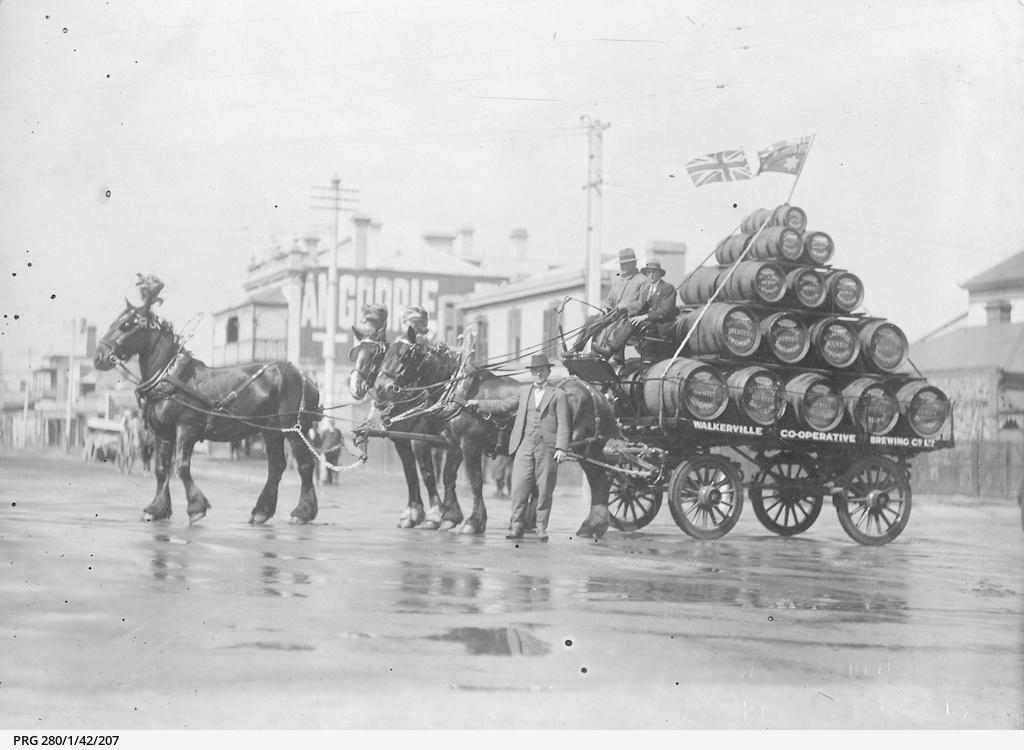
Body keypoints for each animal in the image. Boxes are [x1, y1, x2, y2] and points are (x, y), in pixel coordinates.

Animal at [95, 276, 323, 528]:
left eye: (126, 325)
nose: (98, 357)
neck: (171, 376)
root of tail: (305, 377)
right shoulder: (163, 434)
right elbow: (161, 469)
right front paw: (156, 509)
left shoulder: (186, 428)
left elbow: (181, 467)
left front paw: (196, 507)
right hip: (271, 431)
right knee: (276, 467)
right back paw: (262, 511)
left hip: (293, 429)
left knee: (305, 465)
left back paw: (302, 511)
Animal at [374, 325, 614, 536]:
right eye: (386, 353)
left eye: (404, 355)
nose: (379, 387)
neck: (461, 392)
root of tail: (594, 392)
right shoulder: (454, 445)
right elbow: (448, 476)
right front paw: (449, 517)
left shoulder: (469, 445)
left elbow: (474, 481)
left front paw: (473, 522)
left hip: (587, 449)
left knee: (599, 479)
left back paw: (593, 524)